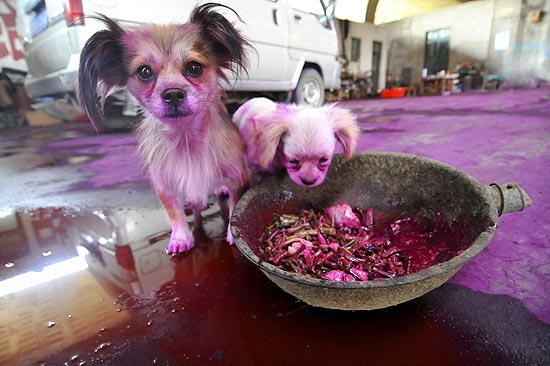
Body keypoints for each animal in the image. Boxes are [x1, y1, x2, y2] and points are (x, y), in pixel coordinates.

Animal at [76, 3, 251, 254]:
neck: (186, 136)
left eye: (194, 67)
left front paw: (230, 235)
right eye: (144, 72)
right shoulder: (164, 183)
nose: (173, 93)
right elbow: (175, 212)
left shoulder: (238, 175)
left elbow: (236, 204)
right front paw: (181, 237)